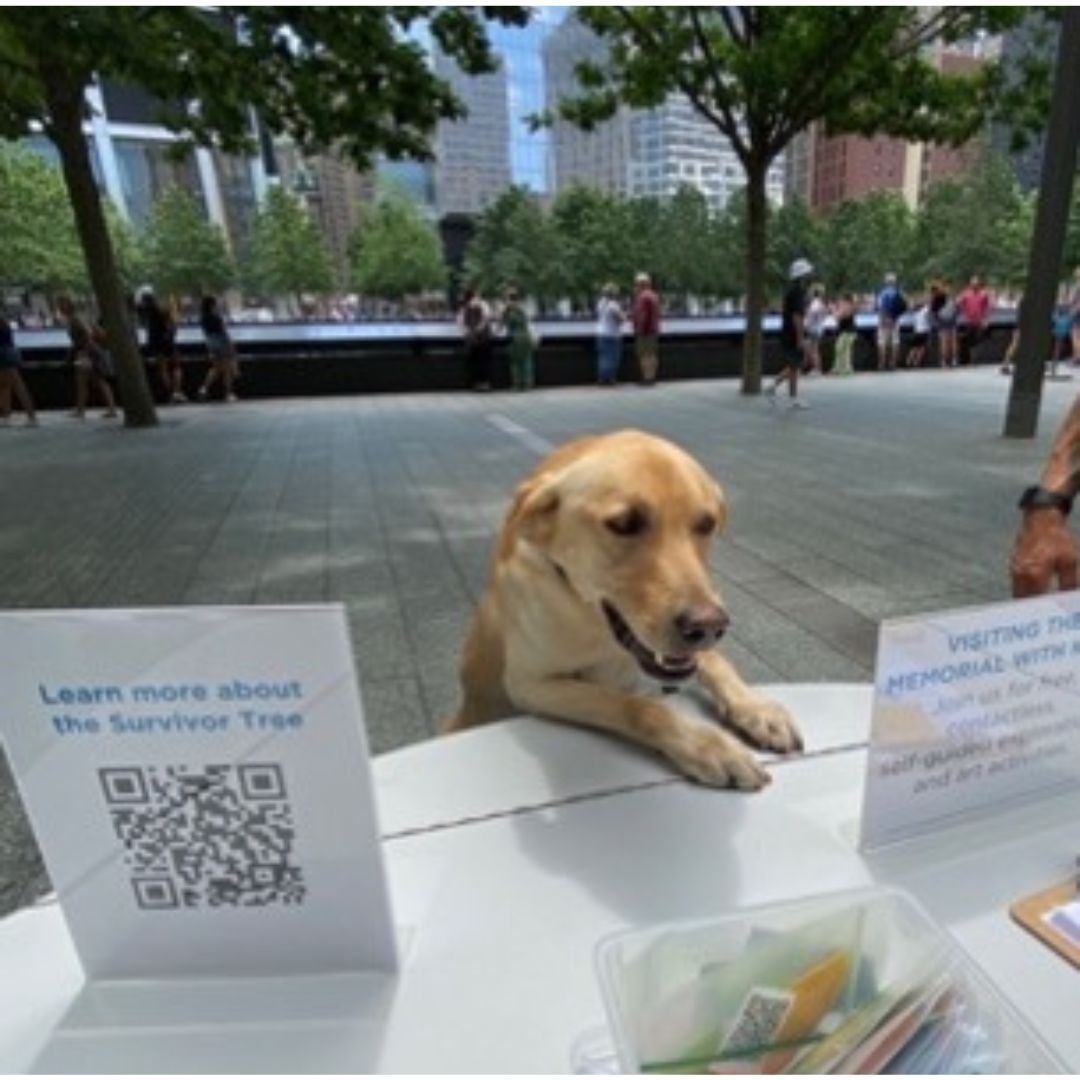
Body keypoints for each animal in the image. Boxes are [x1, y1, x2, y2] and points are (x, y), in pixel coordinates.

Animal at [440, 429, 803, 794]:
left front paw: (755, 706)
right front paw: (708, 746)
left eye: (706, 524)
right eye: (624, 523)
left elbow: (716, 661)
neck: (591, 618)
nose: (709, 628)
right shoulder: (531, 684)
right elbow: (635, 706)